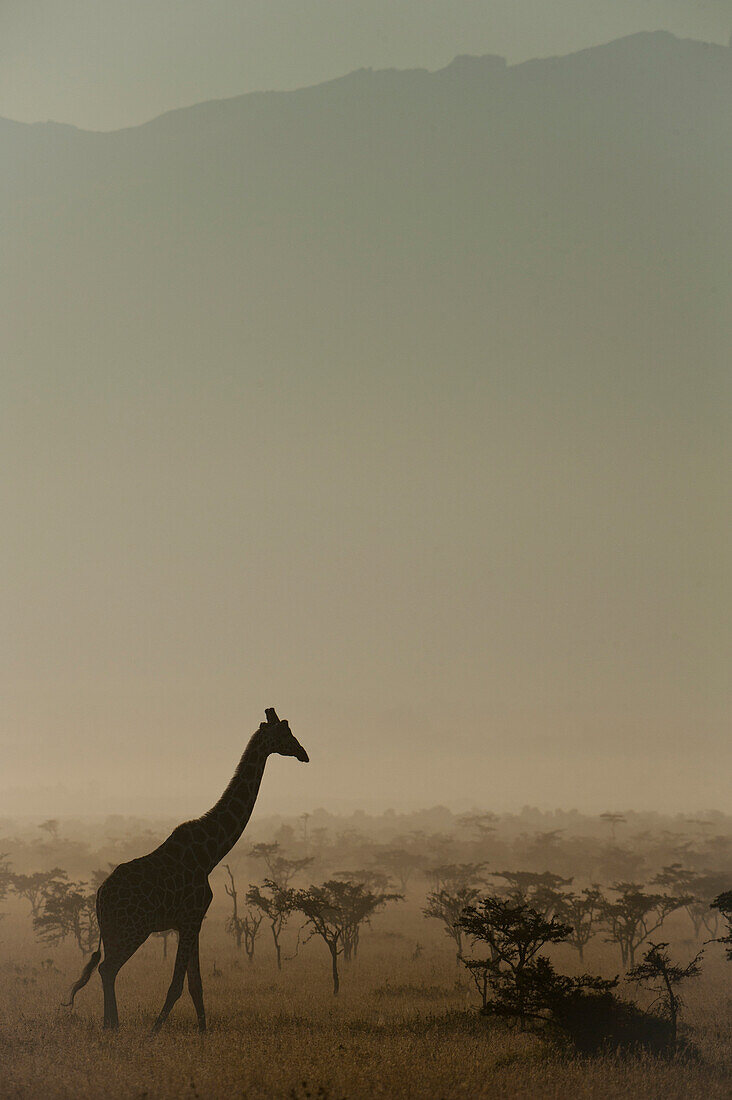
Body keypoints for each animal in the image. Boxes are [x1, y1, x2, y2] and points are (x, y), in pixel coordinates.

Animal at [64, 704, 310, 1029]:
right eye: (284, 732)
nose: (304, 753)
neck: (210, 854)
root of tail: (100, 895)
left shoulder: (193, 920)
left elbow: (196, 984)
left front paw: (203, 1032)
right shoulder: (190, 918)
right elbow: (178, 985)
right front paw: (154, 1031)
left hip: (116, 929)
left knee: (106, 969)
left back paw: (109, 1024)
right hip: (133, 929)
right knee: (108, 968)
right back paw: (113, 1026)